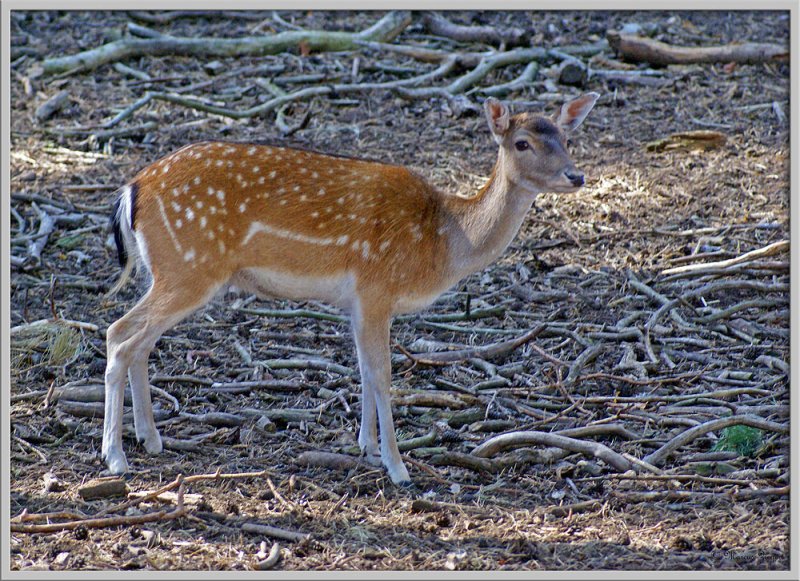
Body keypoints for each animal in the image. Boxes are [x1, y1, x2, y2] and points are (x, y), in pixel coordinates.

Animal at [103, 93, 596, 482]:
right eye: (522, 142)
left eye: (565, 138)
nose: (576, 176)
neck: (442, 243)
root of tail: (133, 189)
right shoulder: (377, 287)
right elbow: (383, 374)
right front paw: (397, 467)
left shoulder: (359, 301)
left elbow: (361, 369)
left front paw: (368, 448)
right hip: (189, 268)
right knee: (119, 335)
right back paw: (115, 457)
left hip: (167, 270)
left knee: (138, 340)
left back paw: (150, 439)